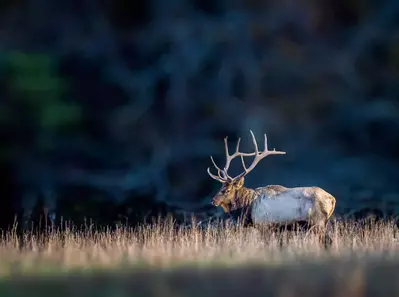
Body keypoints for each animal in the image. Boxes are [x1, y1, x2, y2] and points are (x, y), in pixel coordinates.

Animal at [208, 131, 336, 244]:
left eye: (227, 190)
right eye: (221, 187)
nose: (213, 200)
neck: (247, 208)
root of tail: (332, 199)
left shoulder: (264, 226)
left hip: (317, 223)